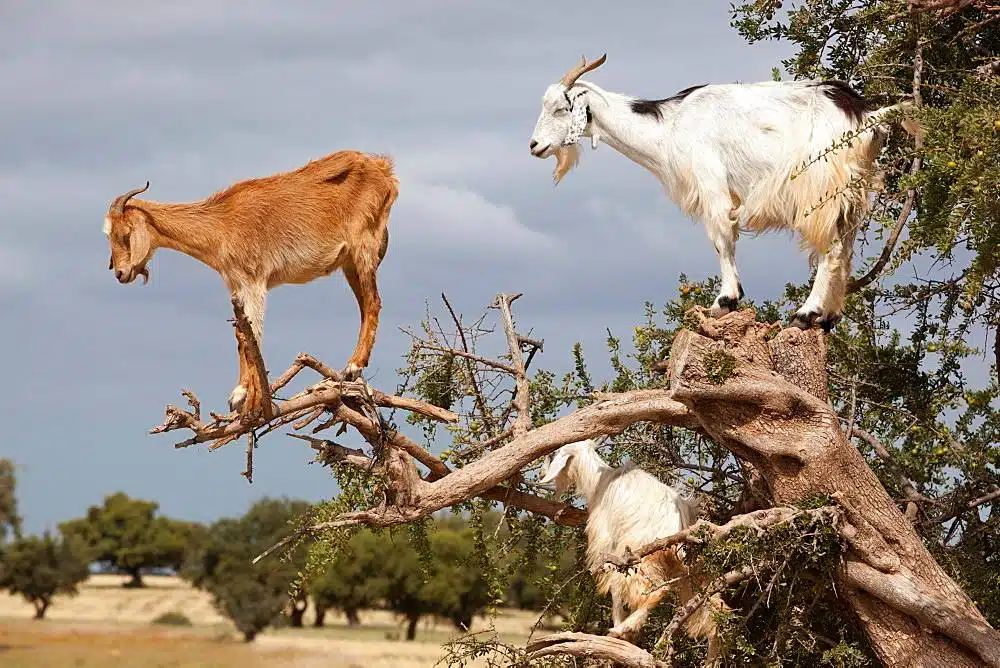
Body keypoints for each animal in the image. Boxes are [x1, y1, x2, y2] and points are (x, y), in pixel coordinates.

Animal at [103, 150, 399, 415]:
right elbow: (240, 335)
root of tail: (384, 170)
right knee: (365, 306)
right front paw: (240, 394)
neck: (220, 224)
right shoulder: (236, 285)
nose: (120, 273)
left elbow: (251, 336)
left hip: (363, 245)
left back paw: (353, 366)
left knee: (373, 302)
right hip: (350, 263)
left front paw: (249, 399)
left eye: (124, 233)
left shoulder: (254, 281)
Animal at [529, 54, 921, 331]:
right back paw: (829, 317)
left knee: (832, 248)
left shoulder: (711, 183)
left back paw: (807, 313)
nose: (534, 146)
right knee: (847, 247)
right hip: (852, 193)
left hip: (821, 190)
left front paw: (725, 301)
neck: (669, 126)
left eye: (561, 108)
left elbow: (721, 238)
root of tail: (867, 116)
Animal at [537, 439, 727, 659]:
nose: (541, 475)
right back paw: (712, 657)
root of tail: (678, 524)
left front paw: (618, 627)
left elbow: (614, 586)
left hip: (641, 555)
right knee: (715, 610)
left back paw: (623, 628)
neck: (601, 481)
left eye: (556, 453)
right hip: (691, 567)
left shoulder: (609, 543)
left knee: (657, 591)